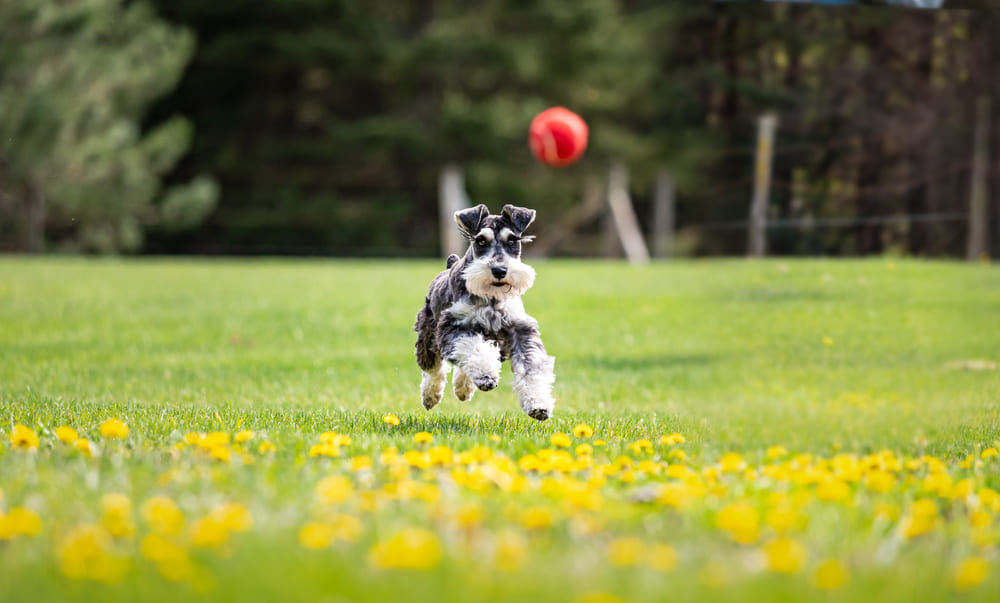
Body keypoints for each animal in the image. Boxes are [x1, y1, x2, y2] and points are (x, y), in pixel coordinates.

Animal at [412, 203, 556, 420]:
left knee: (462, 366)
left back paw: (463, 389)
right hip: (428, 333)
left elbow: (531, 367)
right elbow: (473, 348)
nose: (499, 270)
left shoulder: (520, 329)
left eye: (512, 240)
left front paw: (538, 404)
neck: (492, 297)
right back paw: (431, 395)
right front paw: (485, 375)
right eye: (481, 241)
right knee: (433, 367)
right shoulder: (453, 326)